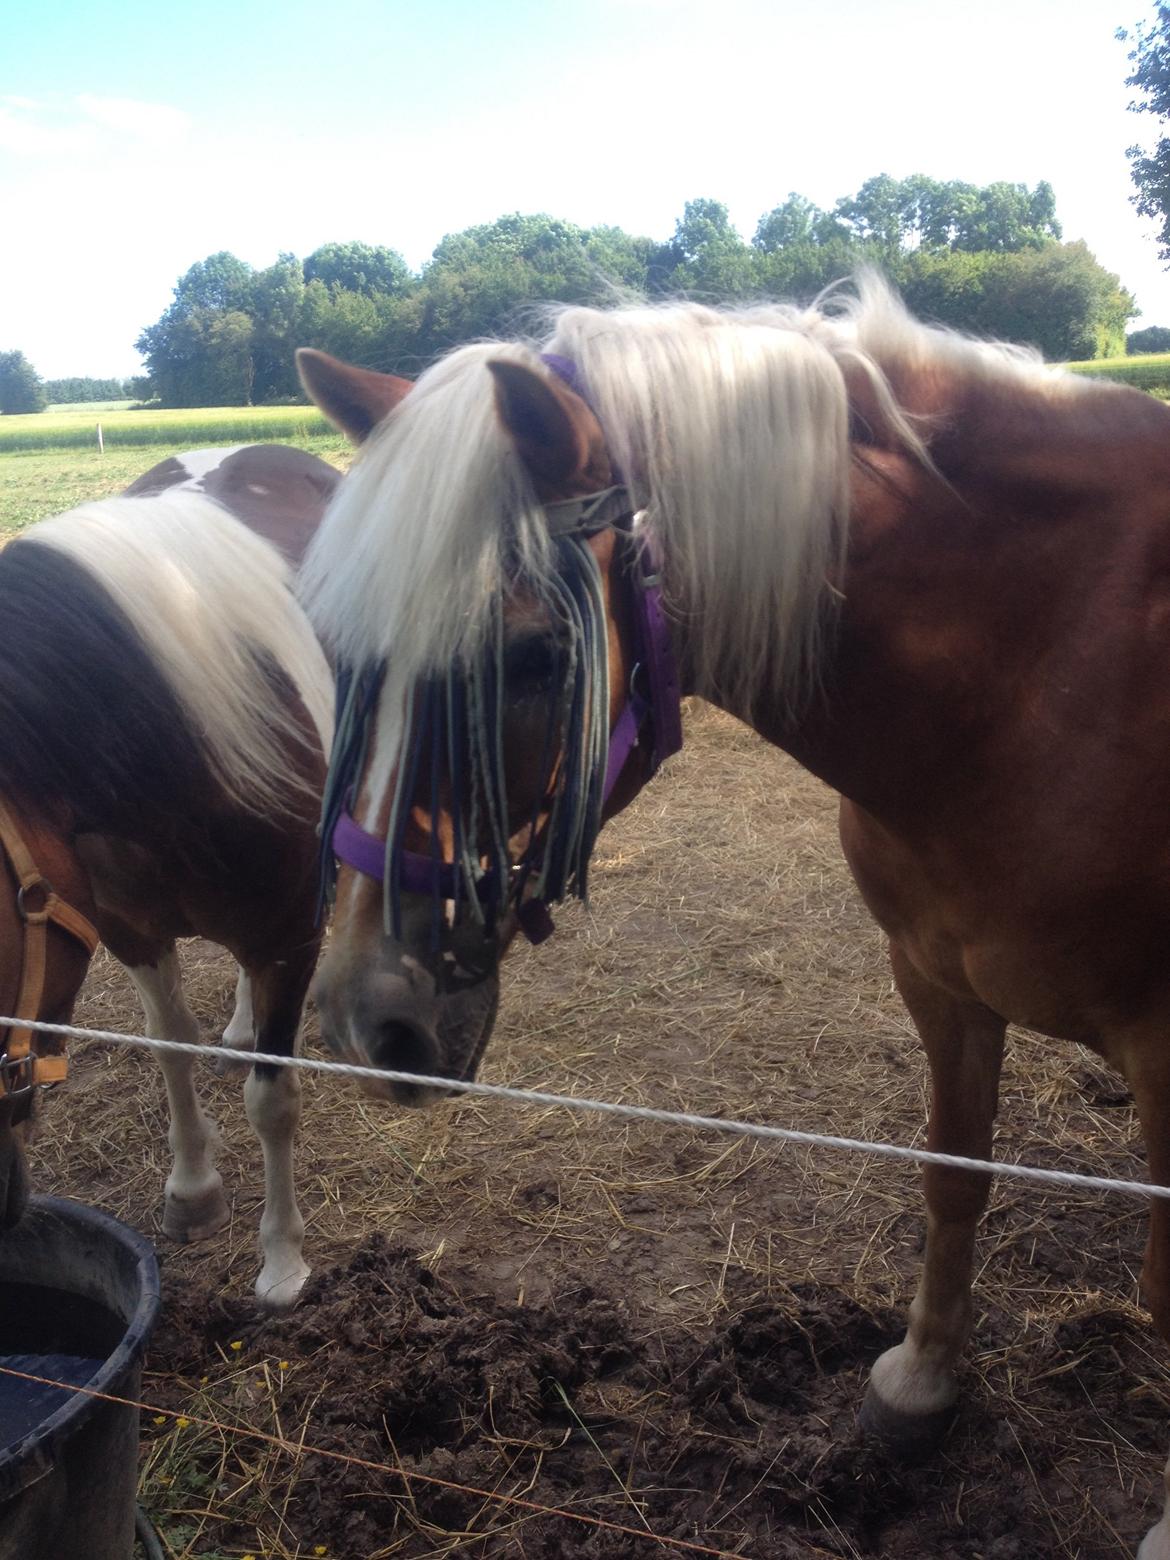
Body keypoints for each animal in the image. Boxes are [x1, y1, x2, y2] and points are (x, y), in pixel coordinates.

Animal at [0, 446, 338, 1310]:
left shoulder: (290, 935)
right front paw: (192, 1191)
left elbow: (272, 1100)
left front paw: (282, 1262)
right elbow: (170, 1049)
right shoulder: (131, 932)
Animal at [297, 283, 1170, 1560]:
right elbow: (951, 1178)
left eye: (534, 657)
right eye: (341, 653)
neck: (1044, 666)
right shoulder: (937, 981)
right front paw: (921, 1381)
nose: (372, 1021)